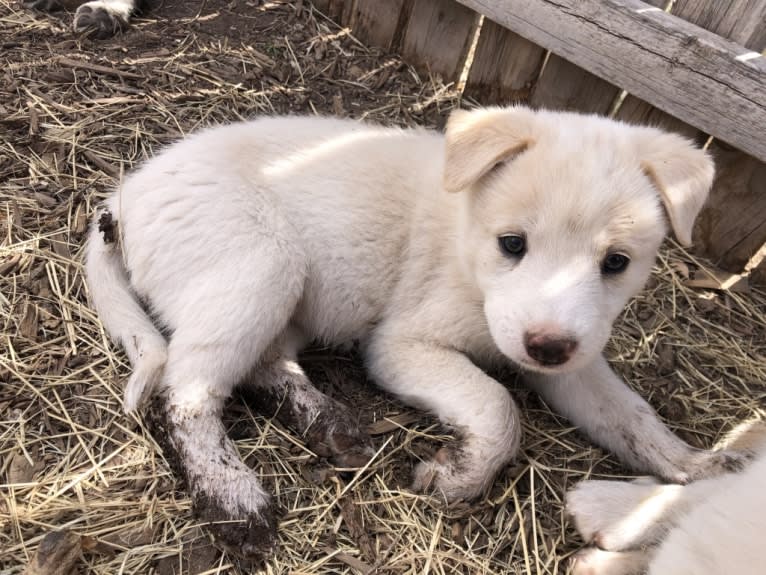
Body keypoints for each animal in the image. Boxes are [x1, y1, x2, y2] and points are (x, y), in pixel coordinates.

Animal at [85, 107, 744, 560]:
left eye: (616, 262)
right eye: (512, 244)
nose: (547, 346)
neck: (467, 246)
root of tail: (124, 195)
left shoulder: (572, 358)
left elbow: (631, 415)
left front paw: (696, 466)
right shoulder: (402, 345)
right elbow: (497, 404)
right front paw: (461, 476)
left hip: (290, 301)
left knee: (263, 366)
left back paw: (329, 423)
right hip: (263, 265)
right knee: (185, 392)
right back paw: (233, 497)